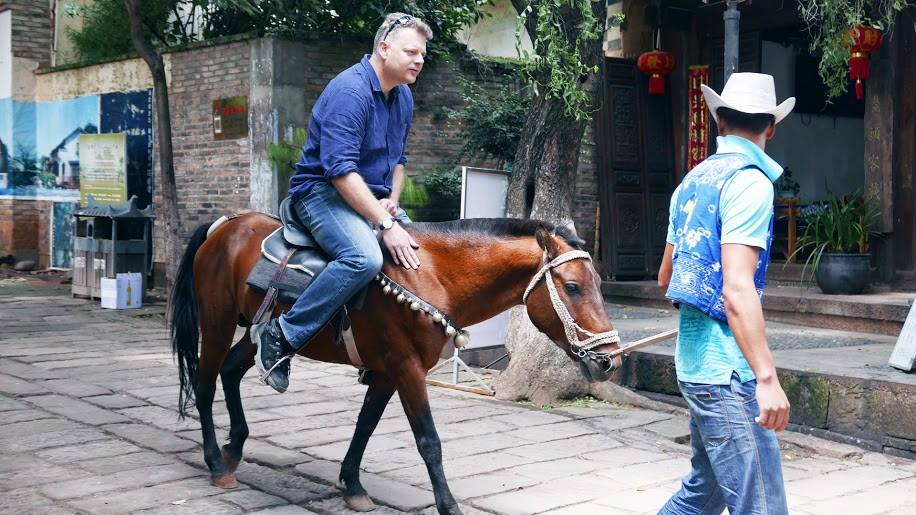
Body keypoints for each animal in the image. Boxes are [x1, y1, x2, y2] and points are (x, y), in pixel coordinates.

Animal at [170, 212, 622, 515]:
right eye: (572, 287)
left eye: (600, 284)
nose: (610, 361)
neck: (431, 274)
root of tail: (224, 226)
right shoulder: (407, 367)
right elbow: (428, 441)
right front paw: (448, 505)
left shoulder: (388, 372)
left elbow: (366, 426)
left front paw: (352, 484)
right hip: (217, 322)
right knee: (206, 383)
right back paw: (216, 462)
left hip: (256, 332)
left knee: (232, 370)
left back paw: (234, 446)